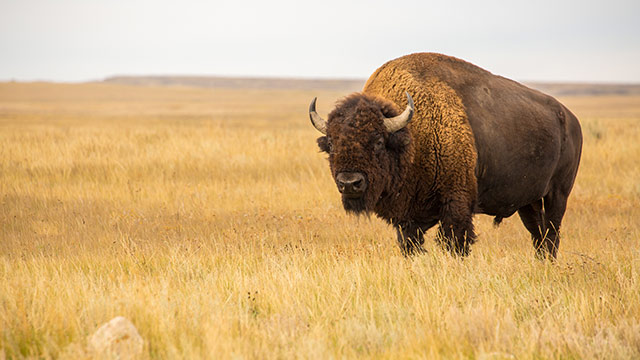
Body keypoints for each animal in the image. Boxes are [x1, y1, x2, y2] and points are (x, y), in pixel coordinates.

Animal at [308, 52, 584, 258]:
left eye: (377, 141)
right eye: (331, 143)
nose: (349, 183)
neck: (411, 135)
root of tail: (571, 120)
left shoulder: (456, 204)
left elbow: (455, 243)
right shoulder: (408, 218)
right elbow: (410, 244)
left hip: (558, 194)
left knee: (552, 232)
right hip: (528, 201)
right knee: (538, 234)